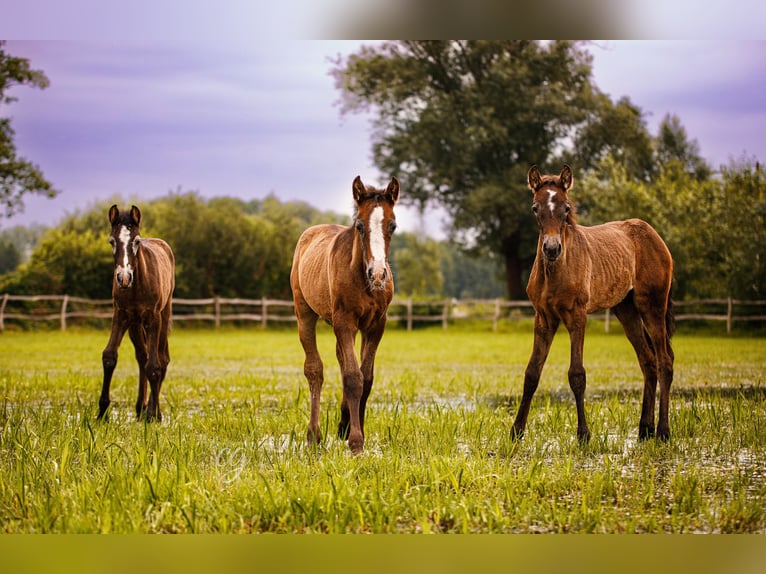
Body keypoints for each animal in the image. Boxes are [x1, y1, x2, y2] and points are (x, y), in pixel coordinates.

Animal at [292, 176, 402, 454]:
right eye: (360, 226)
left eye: (393, 225)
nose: (378, 274)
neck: (362, 277)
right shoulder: (345, 322)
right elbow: (354, 377)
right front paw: (356, 442)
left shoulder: (375, 325)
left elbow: (366, 377)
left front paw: (352, 427)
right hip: (304, 314)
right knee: (315, 370)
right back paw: (313, 435)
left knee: (342, 361)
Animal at [512, 164, 676, 444]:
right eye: (535, 207)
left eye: (566, 207)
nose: (552, 249)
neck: (555, 272)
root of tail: (655, 236)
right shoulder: (543, 318)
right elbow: (532, 373)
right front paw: (516, 431)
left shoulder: (578, 316)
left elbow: (576, 374)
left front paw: (583, 434)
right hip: (626, 309)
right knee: (648, 360)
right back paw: (645, 429)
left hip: (652, 305)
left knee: (664, 360)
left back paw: (663, 431)